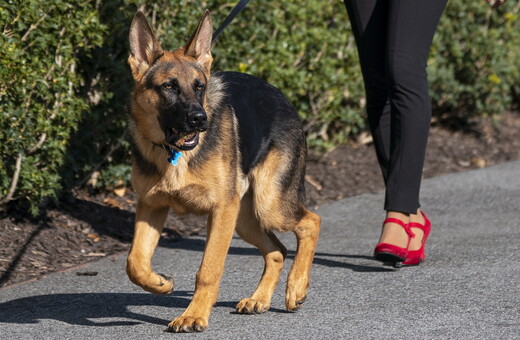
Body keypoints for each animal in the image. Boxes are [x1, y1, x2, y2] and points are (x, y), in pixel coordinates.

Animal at [127, 9, 320, 332]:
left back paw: (296, 287)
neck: (174, 153)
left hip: (268, 206)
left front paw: (194, 315)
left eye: (199, 86)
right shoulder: (151, 206)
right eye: (168, 86)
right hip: (243, 219)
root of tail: (281, 96)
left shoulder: (220, 209)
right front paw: (160, 283)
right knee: (277, 250)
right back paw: (259, 298)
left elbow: (209, 269)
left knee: (311, 222)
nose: (199, 119)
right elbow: (135, 262)